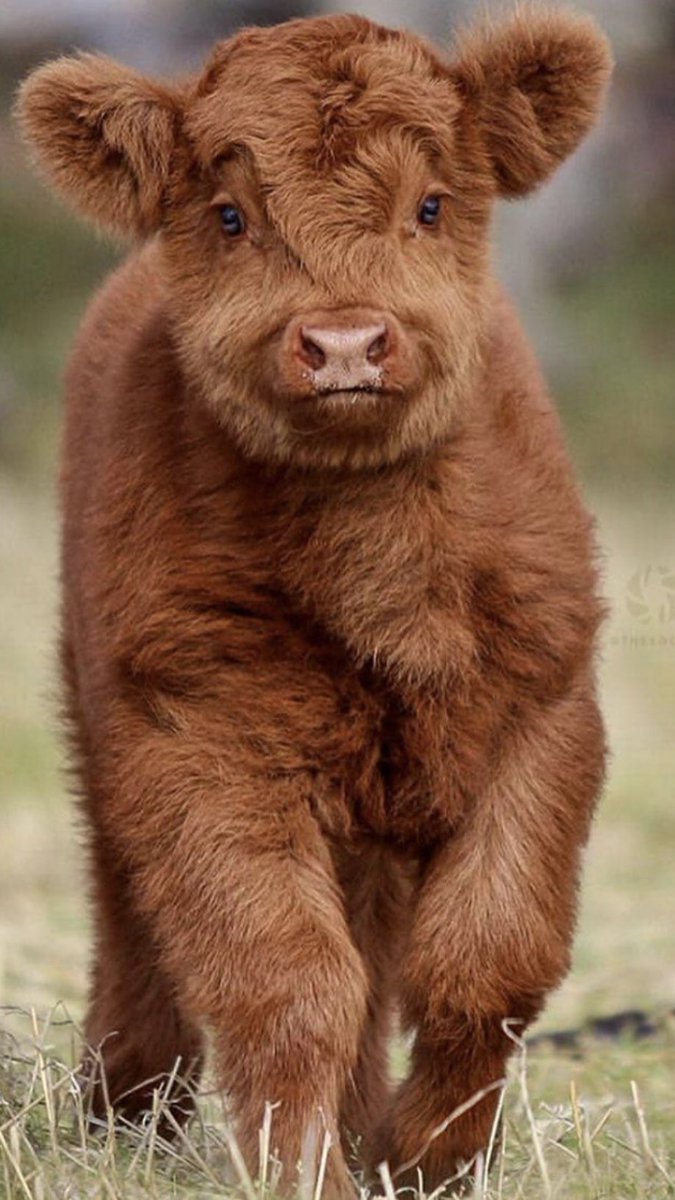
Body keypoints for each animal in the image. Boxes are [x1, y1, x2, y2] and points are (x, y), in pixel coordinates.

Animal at [17, 7, 611, 1195]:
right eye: (230, 213)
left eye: (431, 203)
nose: (343, 343)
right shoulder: (198, 737)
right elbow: (285, 982)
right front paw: (303, 1173)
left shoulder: (547, 712)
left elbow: (488, 959)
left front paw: (426, 1163)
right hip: (107, 732)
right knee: (137, 931)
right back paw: (122, 1122)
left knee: (380, 960)